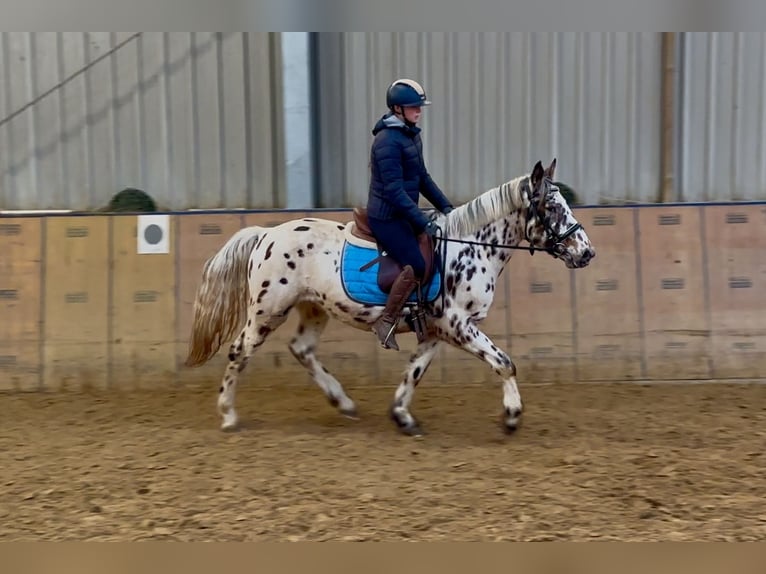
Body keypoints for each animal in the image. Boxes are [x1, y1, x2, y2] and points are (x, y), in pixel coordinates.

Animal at [188, 158, 600, 436]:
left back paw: (343, 402)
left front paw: (402, 415)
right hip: (267, 310)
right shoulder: (457, 324)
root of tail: (266, 234)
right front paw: (512, 416)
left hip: (313, 307)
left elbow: (414, 372)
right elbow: (504, 363)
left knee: (301, 349)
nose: (586, 252)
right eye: (552, 207)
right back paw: (228, 415)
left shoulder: (438, 330)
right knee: (239, 352)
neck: (472, 246)